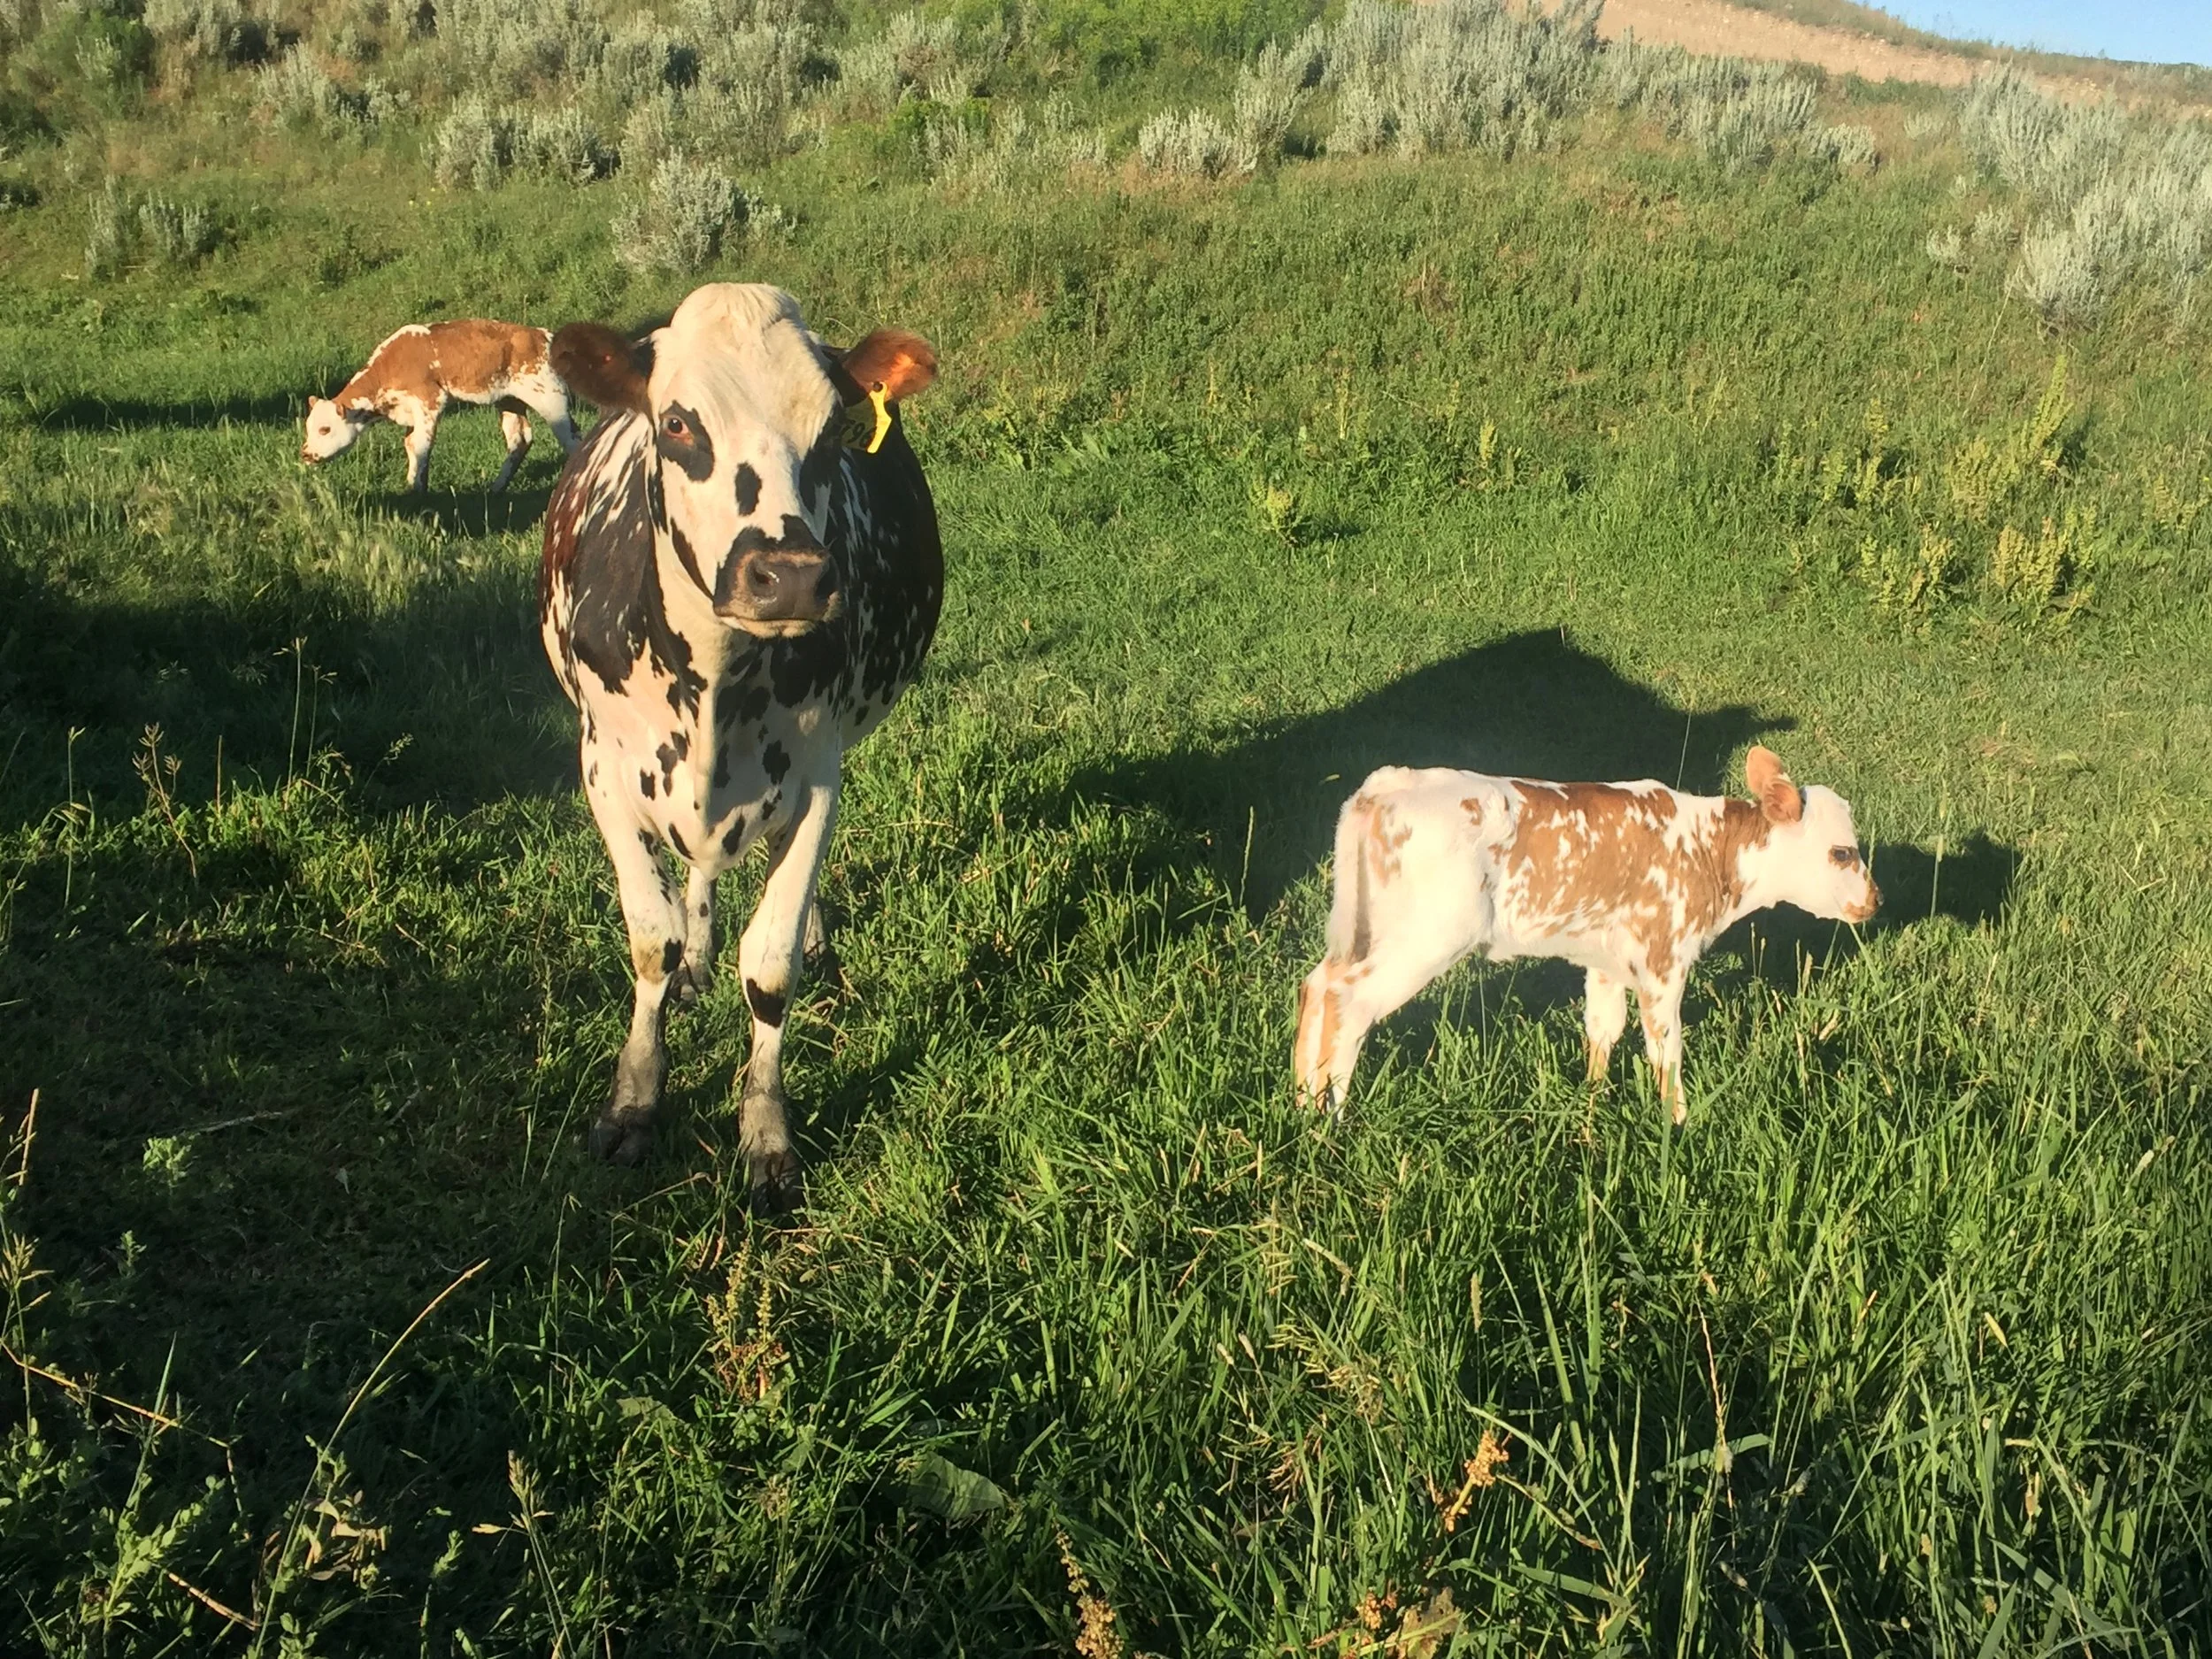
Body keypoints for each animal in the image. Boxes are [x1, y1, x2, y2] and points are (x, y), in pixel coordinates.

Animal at [302, 319, 581, 493]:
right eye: (309, 428)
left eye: (325, 429)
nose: (306, 454)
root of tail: (543, 335)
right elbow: (411, 444)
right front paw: (413, 485)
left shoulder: (429, 402)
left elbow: (422, 446)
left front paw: (417, 489)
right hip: (508, 400)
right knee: (519, 438)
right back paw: (496, 488)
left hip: (550, 398)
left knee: (571, 437)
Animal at [539, 282, 941, 1207]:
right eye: (679, 423)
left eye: (832, 430)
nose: (789, 574)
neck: (717, 688)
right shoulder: (602, 769)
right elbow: (650, 938)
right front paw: (635, 1097)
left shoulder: (818, 775)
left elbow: (770, 963)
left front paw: (765, 1130)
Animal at [1294, 746, 1880, 1123]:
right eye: (1841, 852)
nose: (1874, 901)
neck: (1708, 850)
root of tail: (1388, 784)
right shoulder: (1664, 959)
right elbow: (1665, 1048)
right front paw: (1679, 1124)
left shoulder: (1606, 959)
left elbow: (1604, 1029)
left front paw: (1592, 1108)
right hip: (1429, 937)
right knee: (1350, 1000)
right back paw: (1334, 1118)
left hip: (1365, 929)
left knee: (1317, 984)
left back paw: (1303, 1104)